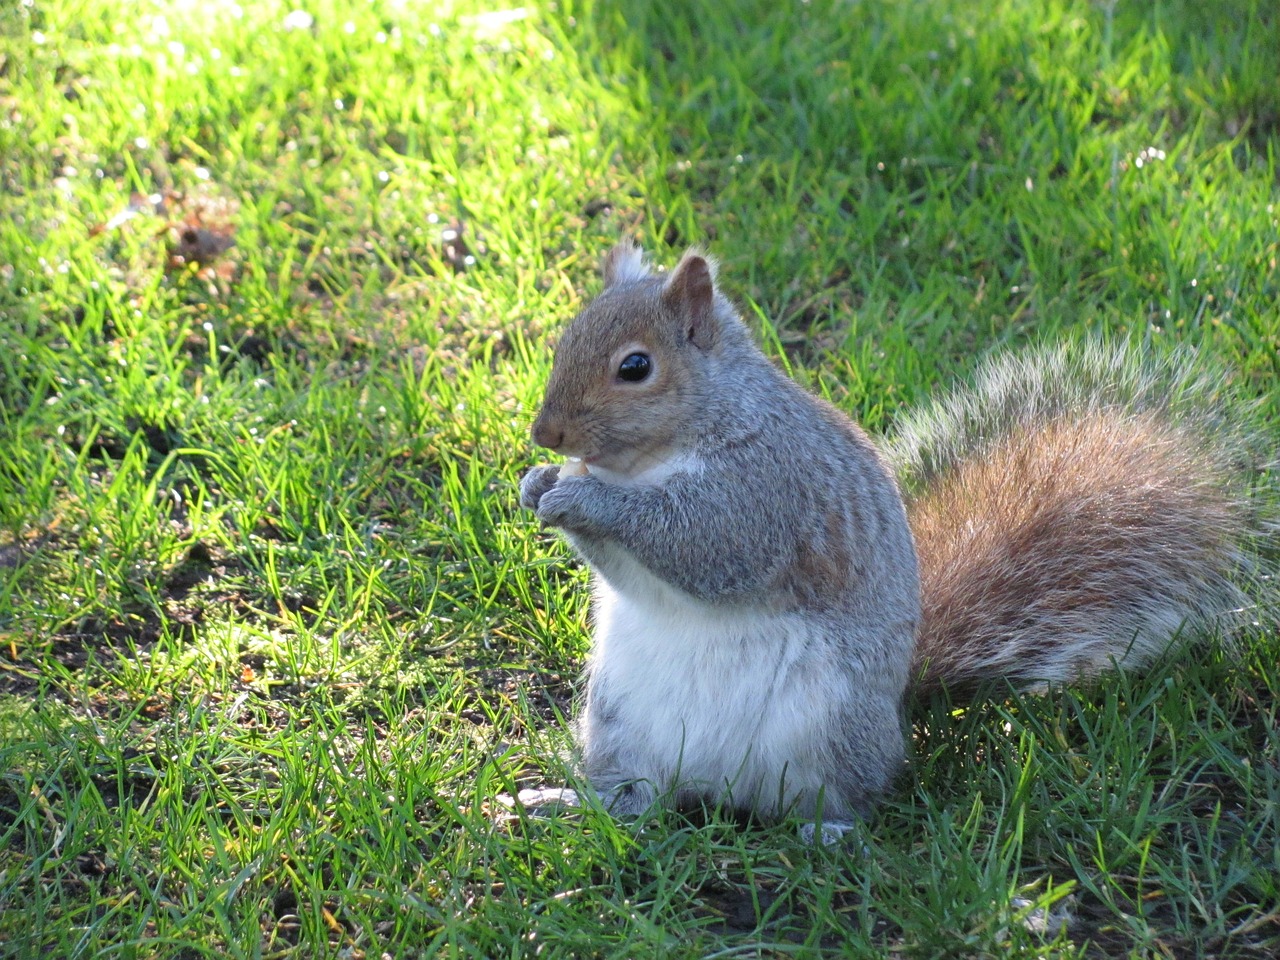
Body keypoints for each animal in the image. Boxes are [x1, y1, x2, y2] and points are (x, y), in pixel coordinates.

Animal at [517, 240, 1269, 834]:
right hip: (619, 722)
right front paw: (537, 483)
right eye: (565, 338)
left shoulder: (767, 491)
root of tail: (715, 787)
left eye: (635, 367)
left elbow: (700, 544)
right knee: (638, 796)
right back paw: (569, 803)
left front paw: (581, 496)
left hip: (829, 725)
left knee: (848, 798)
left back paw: (827, 833)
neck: (656, 458)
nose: (544, 434)